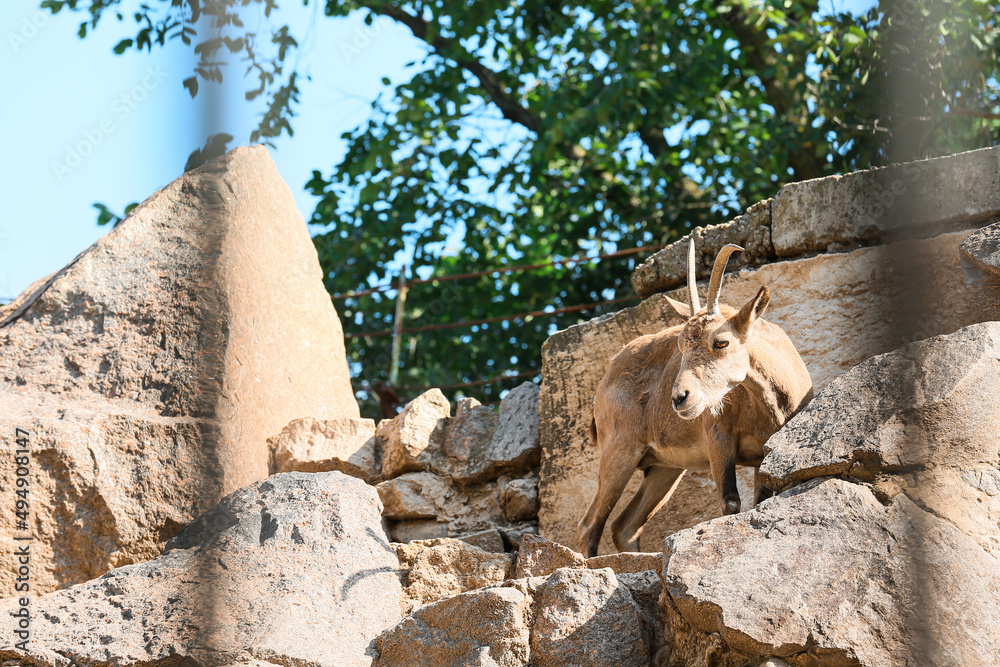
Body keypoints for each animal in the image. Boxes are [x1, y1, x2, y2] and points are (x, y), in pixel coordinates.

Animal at [578, 240, 813, 557]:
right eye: (680, 345)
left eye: (721, 342)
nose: (680, 397)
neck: (769, 407)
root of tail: (604, 380)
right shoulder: (718, 439)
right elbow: (730, 501)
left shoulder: (762, 456)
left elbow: (761, 501)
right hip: (619, 449)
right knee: (591, 524)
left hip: (664, 468)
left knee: (625, 526)